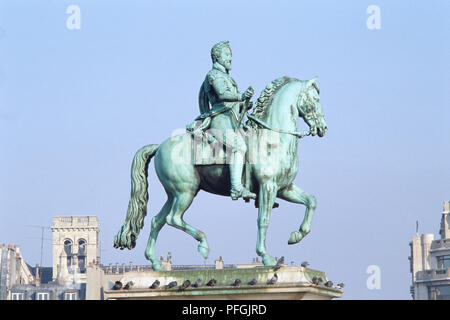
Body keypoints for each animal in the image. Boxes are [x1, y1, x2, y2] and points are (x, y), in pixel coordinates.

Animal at [113, 75, 326, 270]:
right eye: (314, 100)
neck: (272, 140)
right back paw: (203, 245)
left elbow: (312, 201)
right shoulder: (268, 187)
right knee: (173, 218)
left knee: (158, 220)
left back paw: (156, 263)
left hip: (174, 194)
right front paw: (266, 257)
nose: (323, 127)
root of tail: (159, 147)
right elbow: (263, 220)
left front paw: (296, 235)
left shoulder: (284, 188)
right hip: (185, 192)